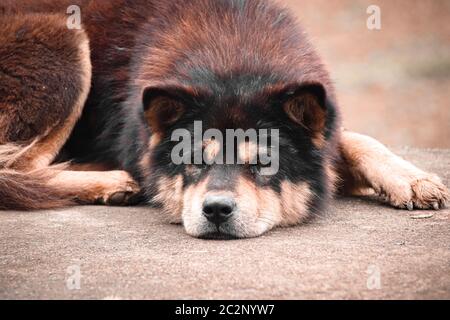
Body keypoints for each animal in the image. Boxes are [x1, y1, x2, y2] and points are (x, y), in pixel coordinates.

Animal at [0, 0, 448, 238]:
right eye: (193, 160)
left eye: (264, 164)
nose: (216, 210)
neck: (233, 61)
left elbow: (353, 140)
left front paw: (411, 179)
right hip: (63, 42)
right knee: (18, 166)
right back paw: (109, 181)